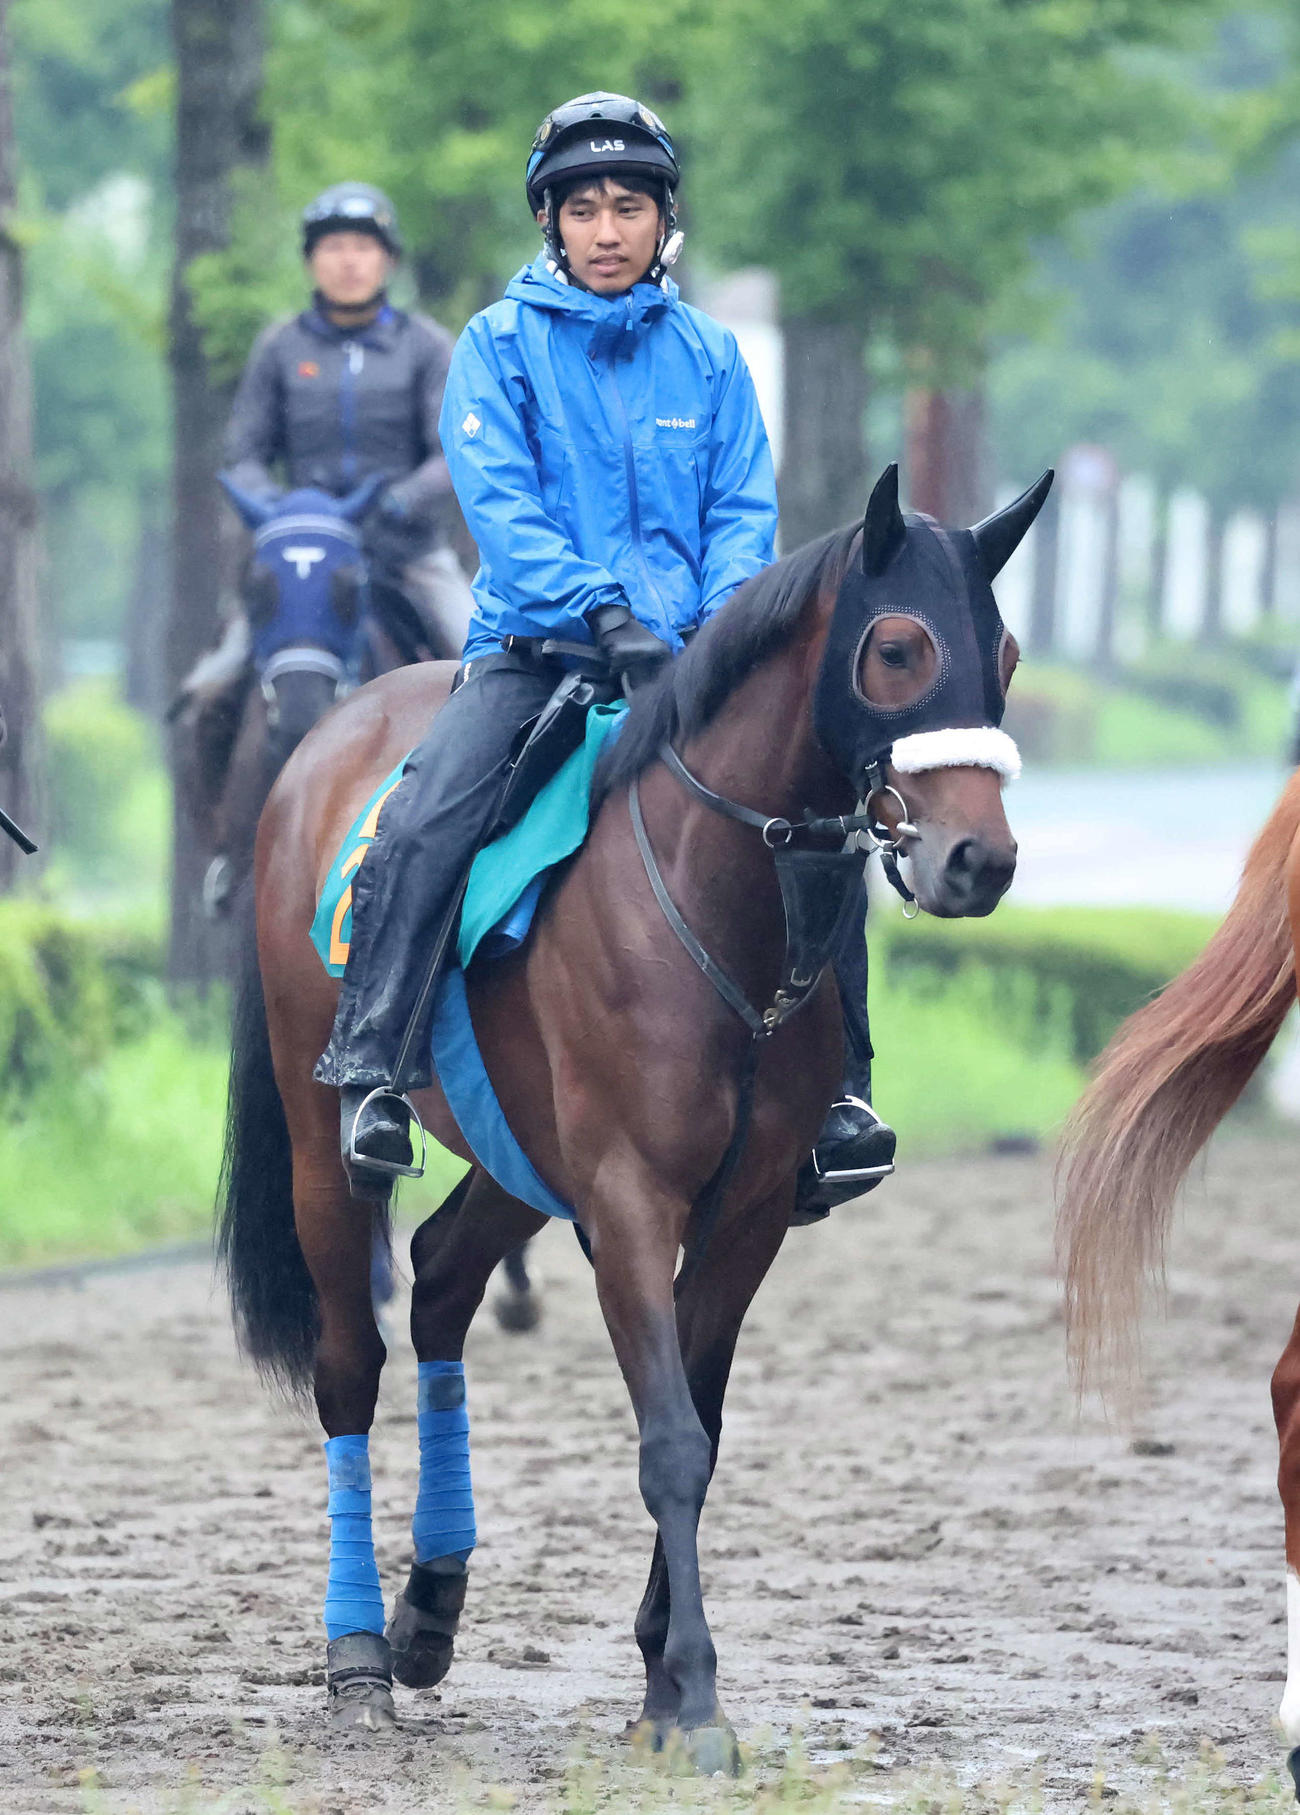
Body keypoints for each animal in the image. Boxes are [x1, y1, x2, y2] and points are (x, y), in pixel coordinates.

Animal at [218, 463, 1048, 1766]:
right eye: (899, 647)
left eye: (1004, 652)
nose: (978, 858)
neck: (711, 897)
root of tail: (320, 740)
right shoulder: (627, 1200)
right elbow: (667, 1441)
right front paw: (693, 1696)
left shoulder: (744, 1212)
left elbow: (699, 1424)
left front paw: (662, 1675)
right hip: (323, 1150)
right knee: (351, 1361)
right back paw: (356, 1650)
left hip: (514, 1155)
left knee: (443, 1279)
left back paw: (429, 1610)